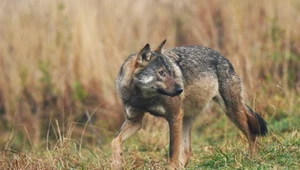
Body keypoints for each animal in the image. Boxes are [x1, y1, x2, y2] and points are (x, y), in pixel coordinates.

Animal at [112, 39, 268, 169]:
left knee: (252, 135)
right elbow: (115, 141)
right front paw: (117, 162)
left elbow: (173, 151)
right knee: (188, 151)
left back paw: (253, 160)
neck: (143, 98)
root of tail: (224, 58)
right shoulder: (135, 120)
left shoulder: (174, 116)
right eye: (161, 73)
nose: (180, 89)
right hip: (187, 118)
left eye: (171, 72)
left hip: (231, 112)